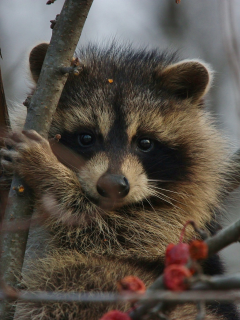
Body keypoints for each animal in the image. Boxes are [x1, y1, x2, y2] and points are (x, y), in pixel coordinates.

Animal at [0, 43, 239, 320]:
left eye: (145, 143)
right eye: (85, 138)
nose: (113, 185)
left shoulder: (173, 221)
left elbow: (111, 230)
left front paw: (48, 170)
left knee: (73, 275)